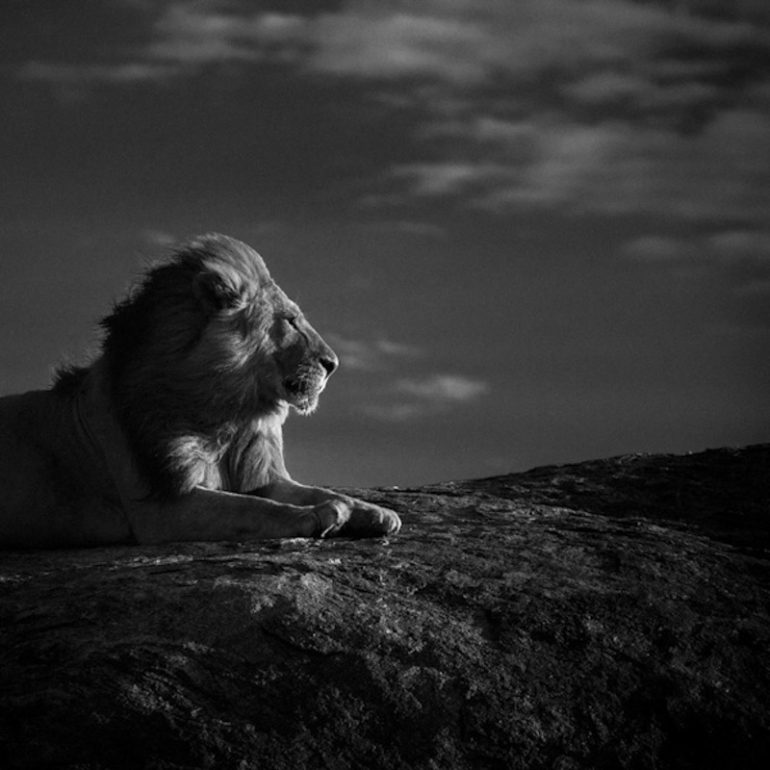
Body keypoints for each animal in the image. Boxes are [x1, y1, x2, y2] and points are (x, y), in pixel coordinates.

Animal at [0, 233, 401, 548]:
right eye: (290, 321)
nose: (333, 363)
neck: (230, 410)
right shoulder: (161, 507)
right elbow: (253, 508)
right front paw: (322, 514)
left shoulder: (258, 475)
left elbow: (310, 490)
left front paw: (375, 511)